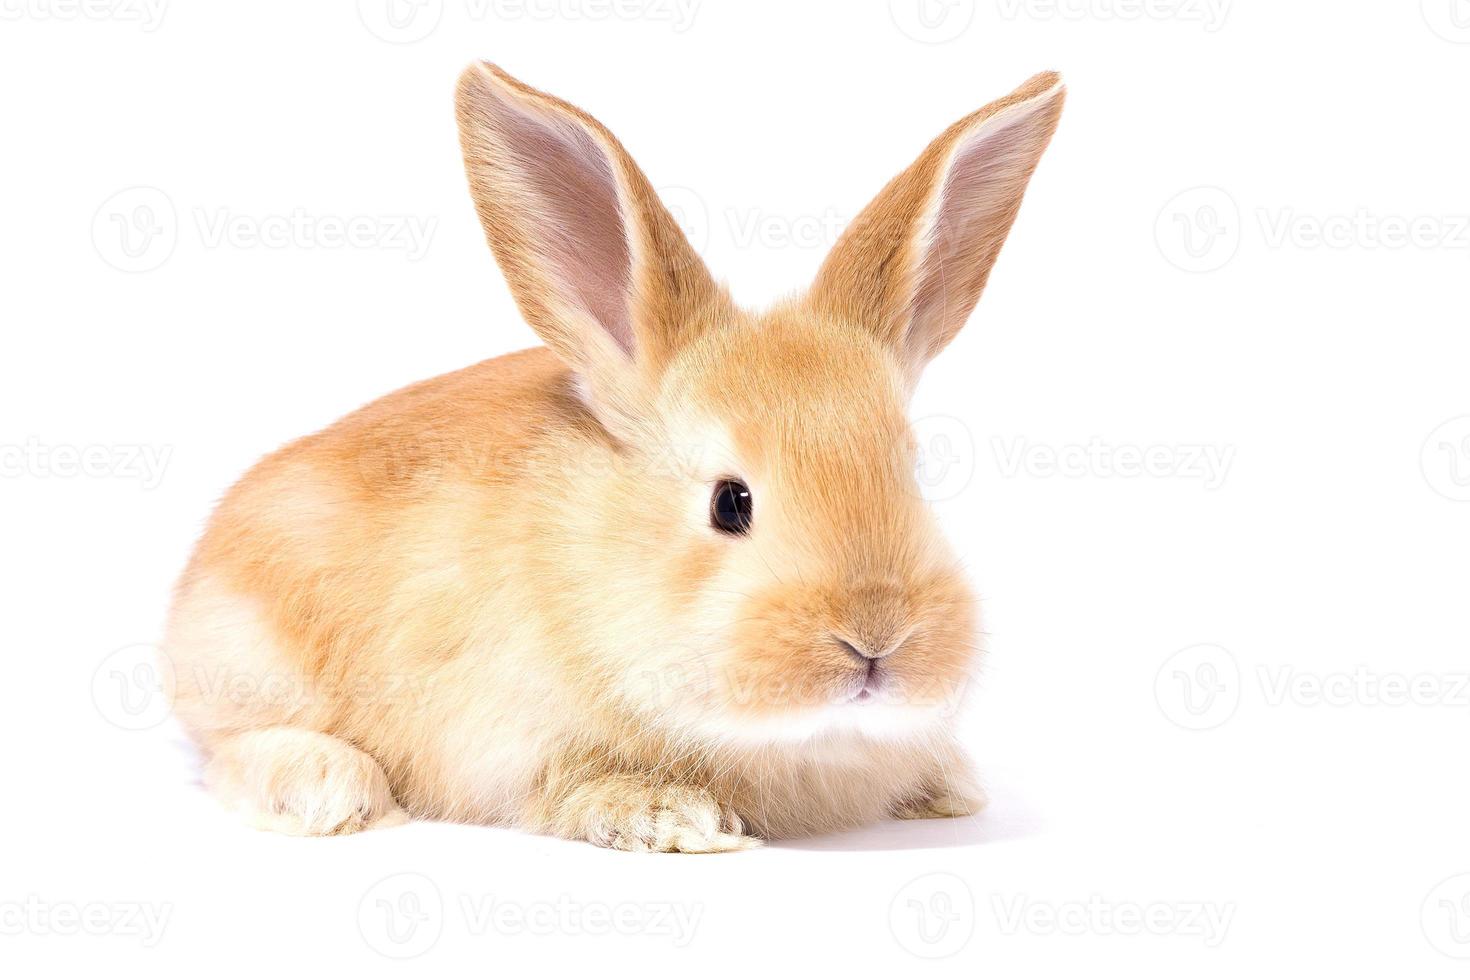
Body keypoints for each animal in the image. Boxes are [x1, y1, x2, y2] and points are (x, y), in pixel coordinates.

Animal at [160, 61, 1064, 852]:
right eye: (730, 501)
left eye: (912, 474)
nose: (876, 637)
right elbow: (576, 787)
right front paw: (677, 819)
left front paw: (949, 785)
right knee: (228, 753)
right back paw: (331, 790)